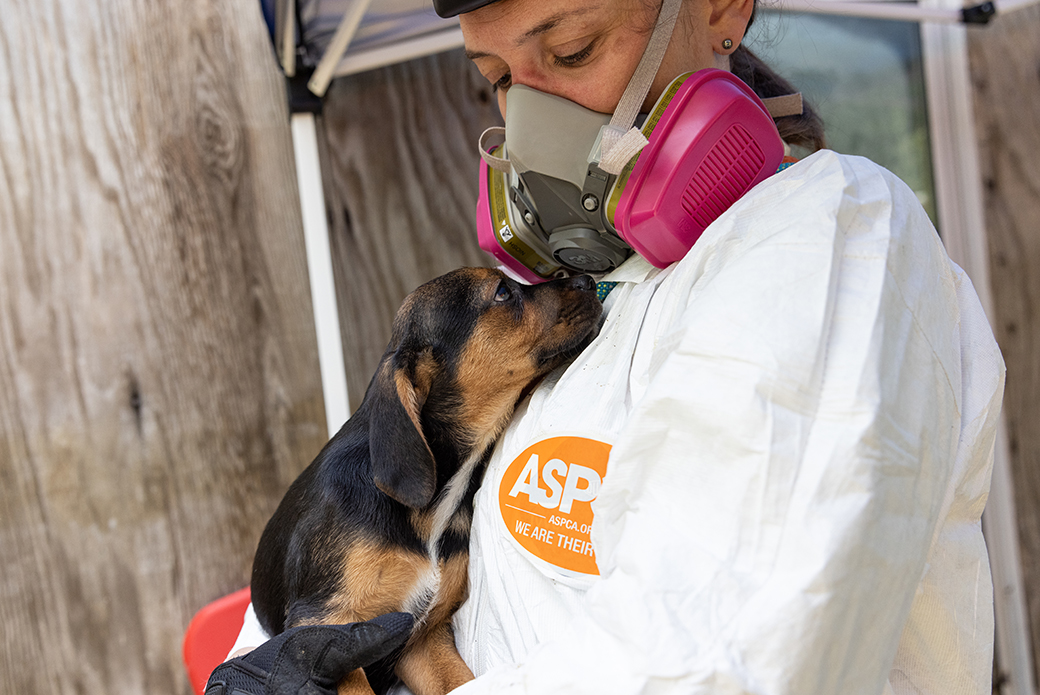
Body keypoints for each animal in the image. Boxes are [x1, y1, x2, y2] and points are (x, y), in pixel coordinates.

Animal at [248, 268, 603, 695]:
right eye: (503, 291)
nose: (587, 280)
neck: (434, 507)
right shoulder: (325, 631)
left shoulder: (421, 638)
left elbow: (461, 684)